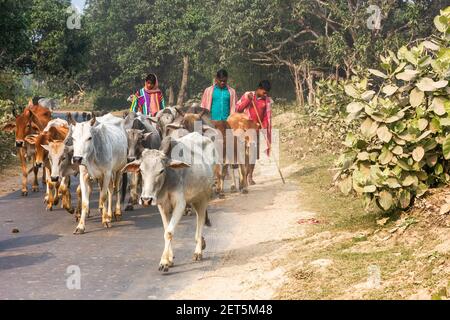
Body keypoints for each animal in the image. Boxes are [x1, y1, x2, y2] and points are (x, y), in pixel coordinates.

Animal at [121, 131, 216, 272]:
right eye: (141, 170)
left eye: (161, 170)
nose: (146, 199)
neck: (167, 180)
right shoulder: (162, 205)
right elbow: (166, 230)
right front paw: (169, 259)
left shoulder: (180, 204)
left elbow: (169, 232)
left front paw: (164, 262)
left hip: (203, 197)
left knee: (201, 218)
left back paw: (198, 250)